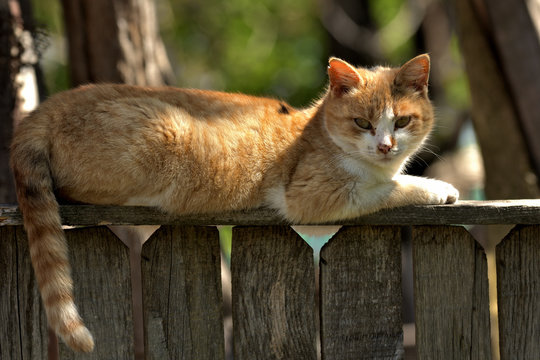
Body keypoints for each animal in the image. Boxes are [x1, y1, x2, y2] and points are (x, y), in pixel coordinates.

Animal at [9, 54, 456, 352]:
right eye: (363, 123)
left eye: (402, 121)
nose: (385, 146)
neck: (317, 130)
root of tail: (45, 110)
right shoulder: (314, 197)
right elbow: (392, 187)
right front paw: (438, 187)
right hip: (167, 136)